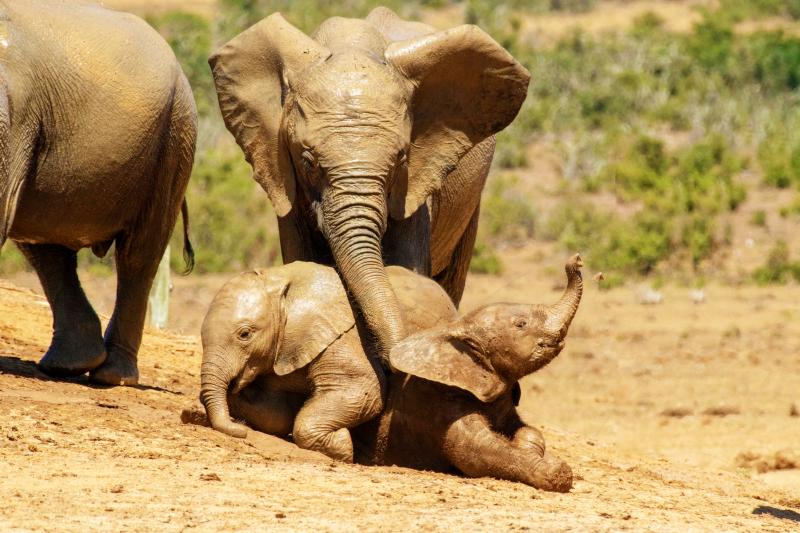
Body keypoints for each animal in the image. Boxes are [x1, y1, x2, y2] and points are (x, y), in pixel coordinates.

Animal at [193, 261, 457, 461]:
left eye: (245, 334)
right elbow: (277, 413)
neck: (281, 280)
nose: (240, 429)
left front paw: (342, 446)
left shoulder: (343, 335)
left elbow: (365, 390)